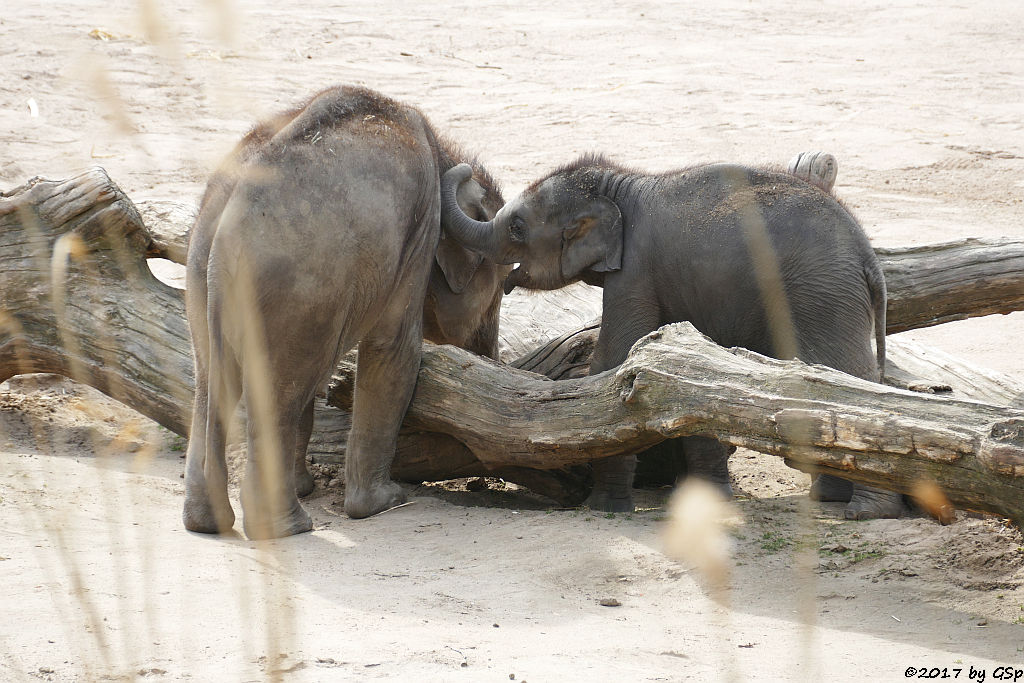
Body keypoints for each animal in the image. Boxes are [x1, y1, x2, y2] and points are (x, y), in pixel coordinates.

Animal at [183, 85, 507, 540]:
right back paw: (289, 526)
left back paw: (206, 521)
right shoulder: (419, 226)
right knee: (282, 388)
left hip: (202, 279)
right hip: (296, 285)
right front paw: (385, 502)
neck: (441, 150)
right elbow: (393, 350)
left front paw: (308, 485)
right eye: (502, 289)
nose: (492, 357)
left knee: (210, 381)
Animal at [444, 154, 901, 518]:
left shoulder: (635, 272)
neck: (619, 184)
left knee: (844, 375)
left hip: (822, 297)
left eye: (517, 227)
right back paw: (831, 499)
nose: (465, 171)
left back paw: (861, 511)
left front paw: (604, 507)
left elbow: (618, 358)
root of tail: (868, 255)